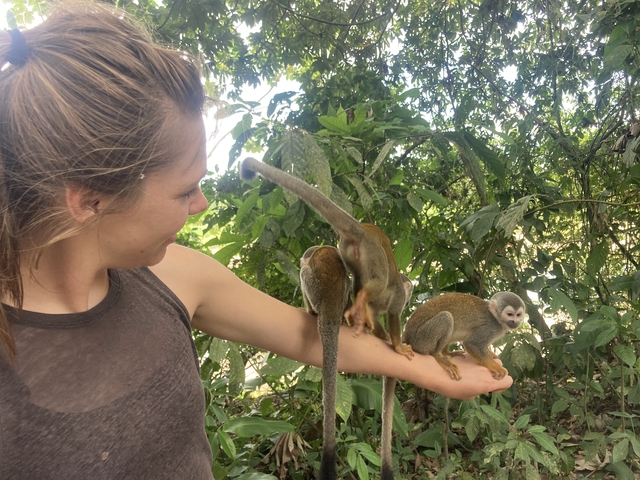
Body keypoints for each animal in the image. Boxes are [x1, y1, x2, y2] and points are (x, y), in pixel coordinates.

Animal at [241, 156, 415, 360]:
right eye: (410, 294)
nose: (409, 301)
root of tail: (363, 229)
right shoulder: (399, 295)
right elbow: (394, 314)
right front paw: (397, 345)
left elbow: (375, 315)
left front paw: (382, 335)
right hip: (374, 252)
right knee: (379, 280)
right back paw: (362, 300)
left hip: (348, 251)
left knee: (358, 279)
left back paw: (359, 308)